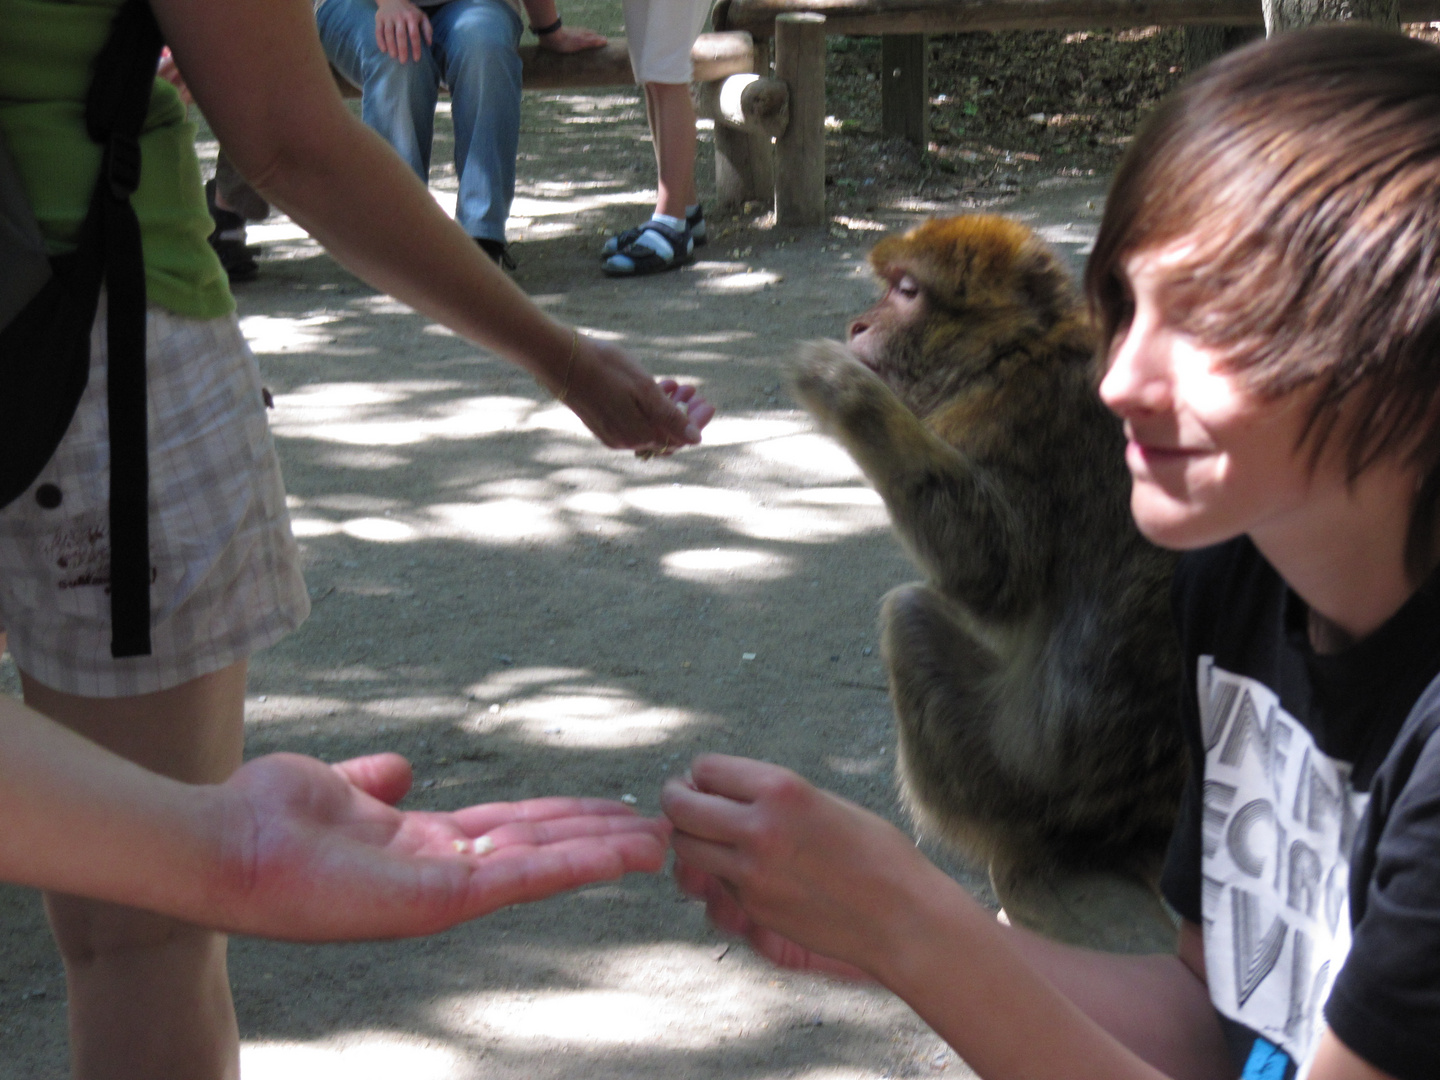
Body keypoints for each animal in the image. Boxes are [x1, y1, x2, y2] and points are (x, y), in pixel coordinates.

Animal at [794, 213, 1186, 956]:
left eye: (907, 291)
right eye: (889, 286)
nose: (859, 325)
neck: (1017, 349)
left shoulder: (1018, 414)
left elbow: (994, 571)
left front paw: (847, 396)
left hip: (1010, 784)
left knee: (909, 616)